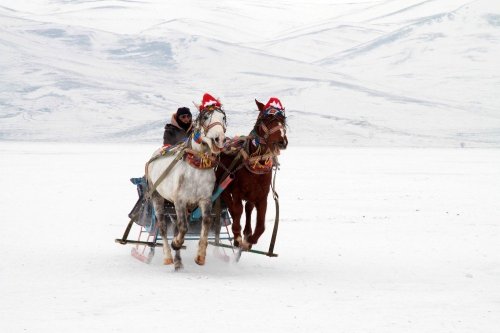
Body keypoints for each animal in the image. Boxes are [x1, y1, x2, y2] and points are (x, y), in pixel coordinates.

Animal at [146, 106, 227, 270]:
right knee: (163, 226)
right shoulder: (179, 201)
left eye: (223, 118)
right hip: (157, 196)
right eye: (206, 117)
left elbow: (206, 222)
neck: (196, 166)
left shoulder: (205, 200)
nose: (219, 139)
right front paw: (176, 243)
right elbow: (183, 227)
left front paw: (200, 256)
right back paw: (168, 257)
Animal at [216, 98, 290, 249]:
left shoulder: (262, 197)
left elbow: (261, 225)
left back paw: (247, 231)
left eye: (283, 119)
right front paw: (237, 236)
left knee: (248, 208)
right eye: (266, 119)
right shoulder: (237, 193)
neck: (256, 166)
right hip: (223, 187)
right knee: (233, 207)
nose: (282, 142)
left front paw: (249, 240)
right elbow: (237, 211)